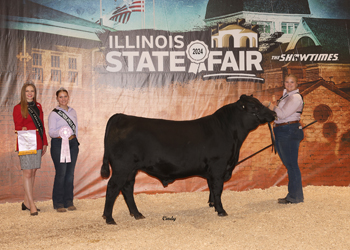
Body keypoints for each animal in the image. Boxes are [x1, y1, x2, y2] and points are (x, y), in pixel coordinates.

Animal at [100, 94, 276, 225]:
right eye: (255, 107)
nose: (274, 114)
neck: (230, 133)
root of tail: (122, 116)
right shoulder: (218, 166)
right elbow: (218, 189)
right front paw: (221, 211)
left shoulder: (213, 170)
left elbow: (211, 187)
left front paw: (212, 205)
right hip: (122, 167)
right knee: (113, 187)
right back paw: (109, 218)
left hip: (131, 169)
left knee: (127, 188)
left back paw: (137, 214)